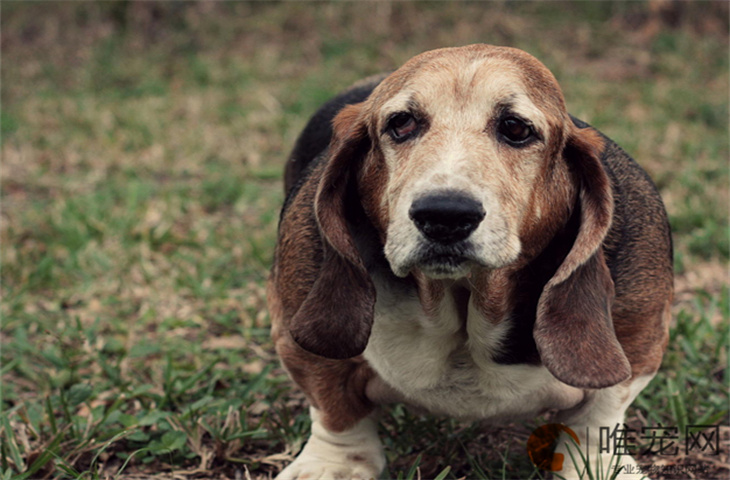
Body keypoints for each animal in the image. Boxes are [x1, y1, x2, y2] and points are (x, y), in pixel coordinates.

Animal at [268, 45, 672, 480]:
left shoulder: (639, 335)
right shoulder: (296, 332)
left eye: (515, 128)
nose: (444, 214)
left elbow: (600, 412)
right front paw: (332, 465)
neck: (461, 300)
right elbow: (334, 405)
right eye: (401, 123)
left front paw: (594, 466)